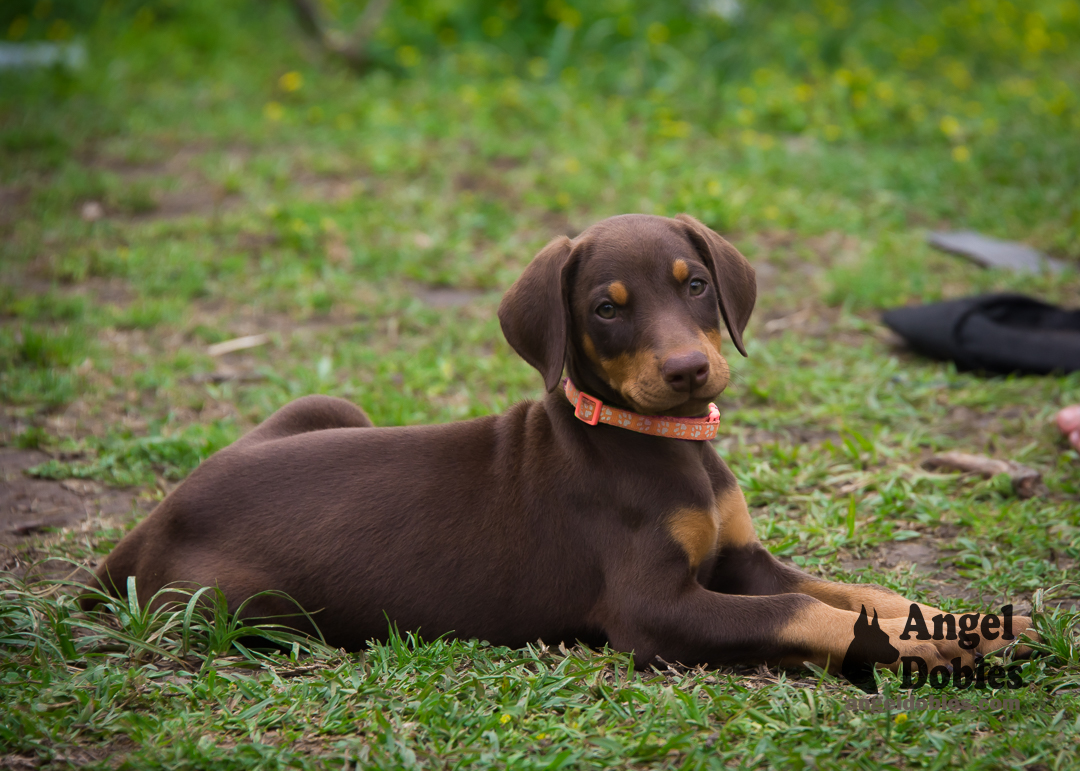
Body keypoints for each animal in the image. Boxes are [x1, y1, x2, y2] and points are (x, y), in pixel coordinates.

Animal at [82, 211, 1028, 673]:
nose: (689, 370)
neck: (664, 442)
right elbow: (804, 611)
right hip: (250, 605)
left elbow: (849, 588)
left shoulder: (740, 557)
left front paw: (963, 619)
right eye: (607, 306)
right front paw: (929, 644)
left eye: (694, 283)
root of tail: (147, 523)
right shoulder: (654, 607)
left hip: (326, 402)